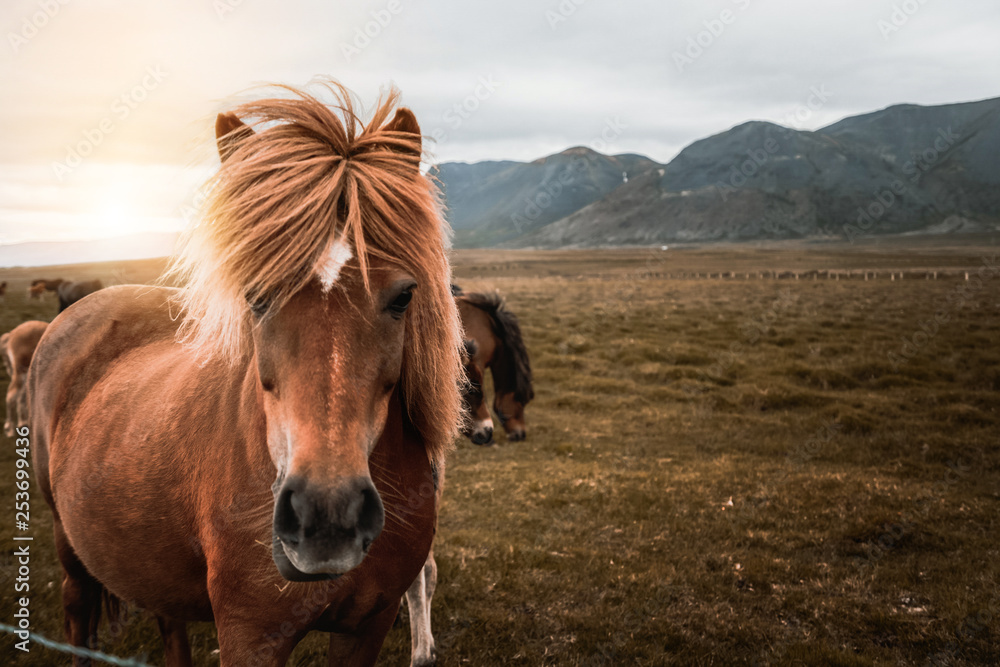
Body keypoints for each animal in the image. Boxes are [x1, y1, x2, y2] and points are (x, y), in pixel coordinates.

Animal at [29, 81, 462, 664]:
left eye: (402, 297)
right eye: (256, 298)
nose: (327, 515)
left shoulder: (368, 626)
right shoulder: (250, 634)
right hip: (67, 543)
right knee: (77, 610)